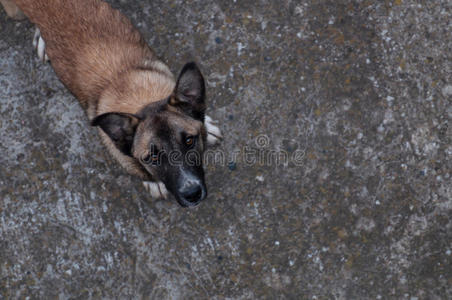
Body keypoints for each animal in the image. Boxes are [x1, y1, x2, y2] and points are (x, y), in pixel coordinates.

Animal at [0, 0, 222, 206]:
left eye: (189, 141)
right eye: (151, 158)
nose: (192, 194)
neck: (139, 98)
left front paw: (207, 125)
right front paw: (154, 181)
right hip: (15, 12)